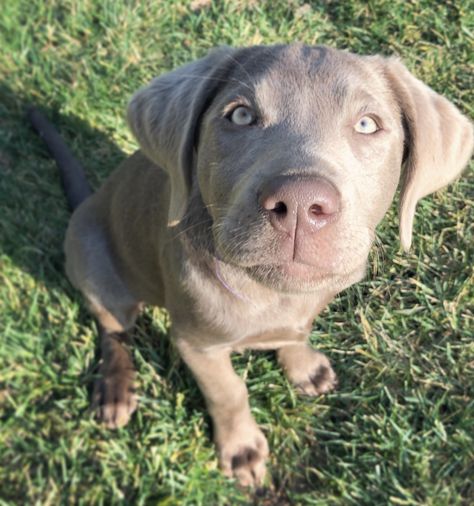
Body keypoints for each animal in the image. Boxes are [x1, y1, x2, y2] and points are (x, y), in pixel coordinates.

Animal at [30, 44, 474, 486]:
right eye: (240, 115)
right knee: (113, 331)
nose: (300, 203)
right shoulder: (196, 344)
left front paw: (302, 365)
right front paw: (241, 447)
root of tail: (88, 203)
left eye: (367, 124)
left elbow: (296, 335)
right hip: (96, 269)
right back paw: (116, 387)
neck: (273, 294)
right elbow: (229, 392)